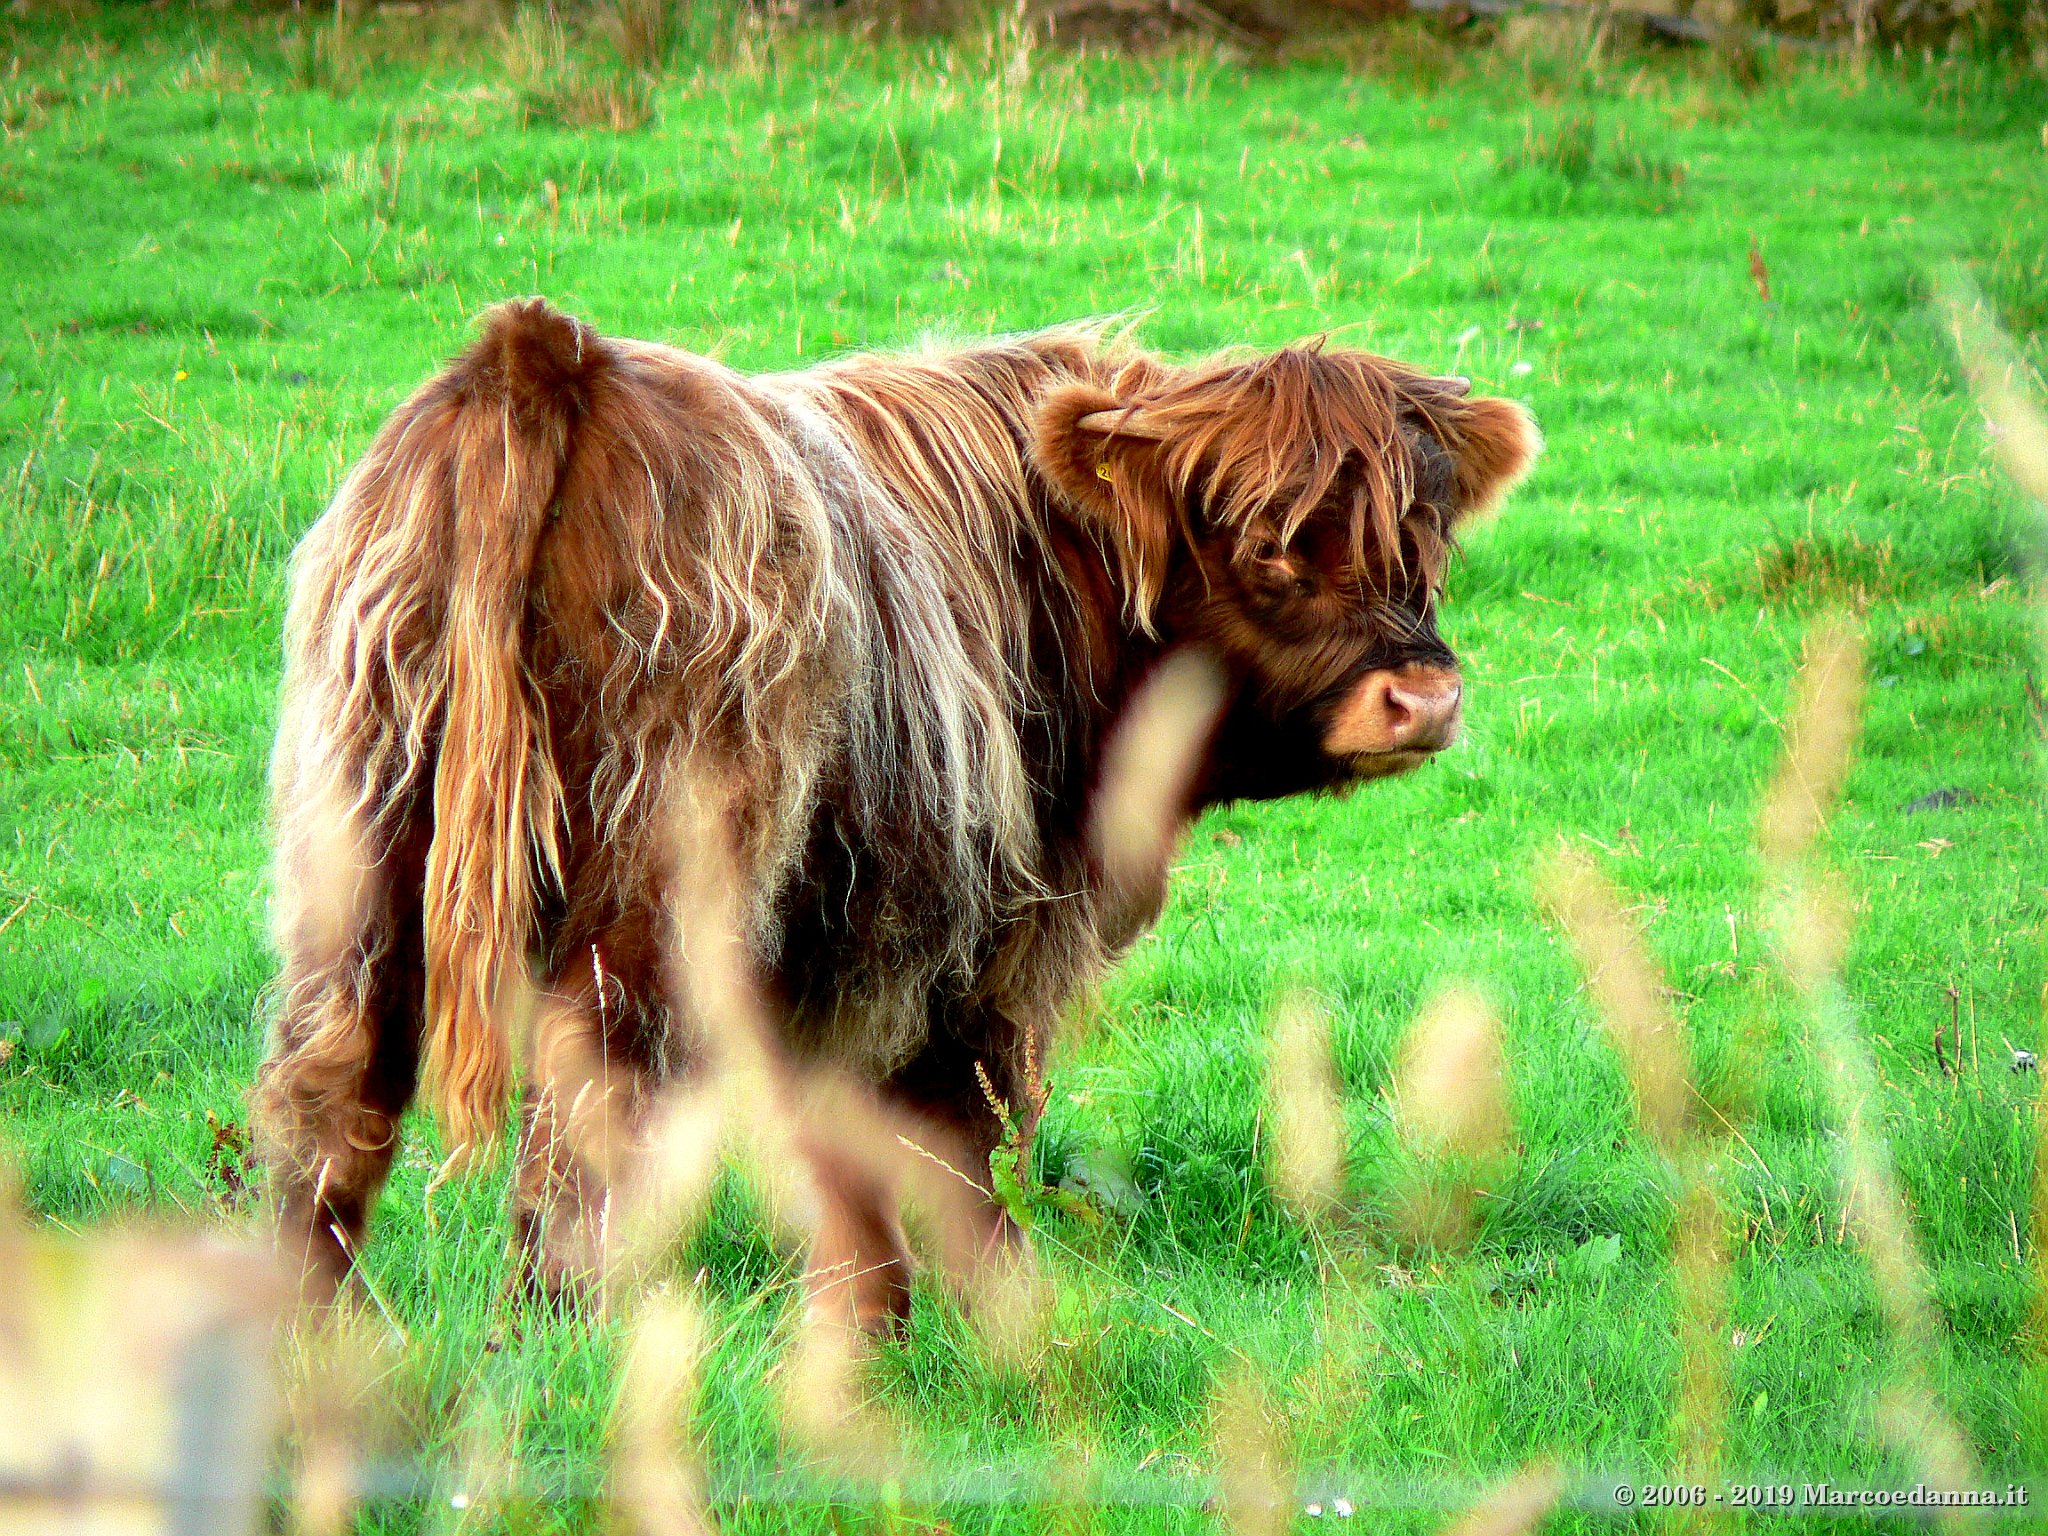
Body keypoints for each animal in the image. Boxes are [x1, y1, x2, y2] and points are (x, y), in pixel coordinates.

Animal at [251, 301, 1538, 1330]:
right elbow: (958, 1143)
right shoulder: (965, 947)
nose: (1421, 697)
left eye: (1421, 536)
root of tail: (552, 354)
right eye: (1263, 546)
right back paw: (562, 1338)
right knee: (581, 1117)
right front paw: (990, 1329)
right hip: (650, 894)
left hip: (359, 847)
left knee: (331, 1099)